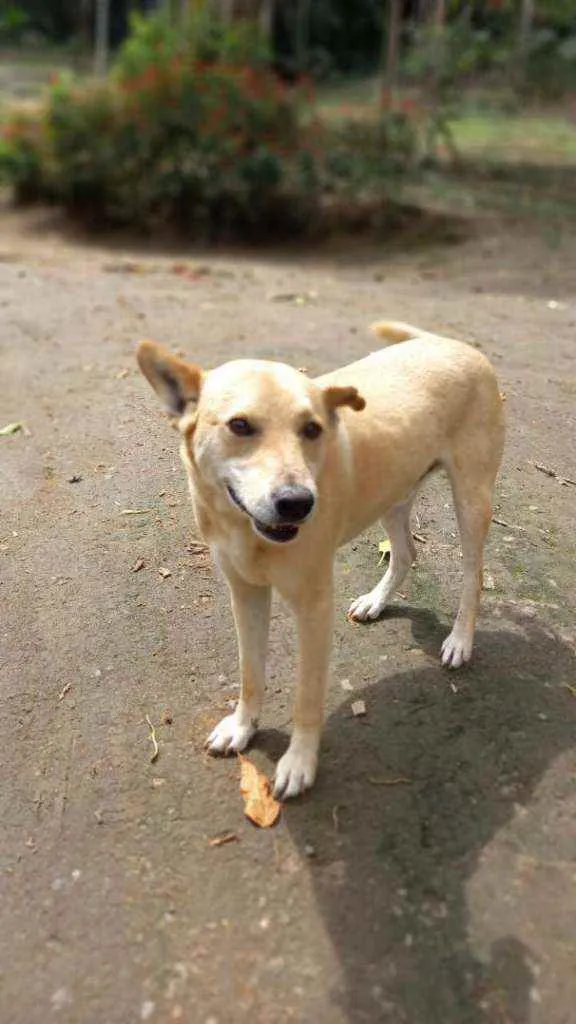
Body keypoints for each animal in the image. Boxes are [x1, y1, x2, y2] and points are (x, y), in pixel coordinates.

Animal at [135, 319, 502, 798]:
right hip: (393, 493)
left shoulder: (313, 608)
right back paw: (376, 601)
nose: (297, 503)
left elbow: (306, 697)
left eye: (312, 429)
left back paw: (460, 640)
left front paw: (299, 762)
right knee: (406, 553)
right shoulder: (245, 593)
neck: (244, 529)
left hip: (472, 500)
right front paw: (242, 726)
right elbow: (249, 671)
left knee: (473, 574)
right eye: (240, 425)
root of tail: (448, 342)